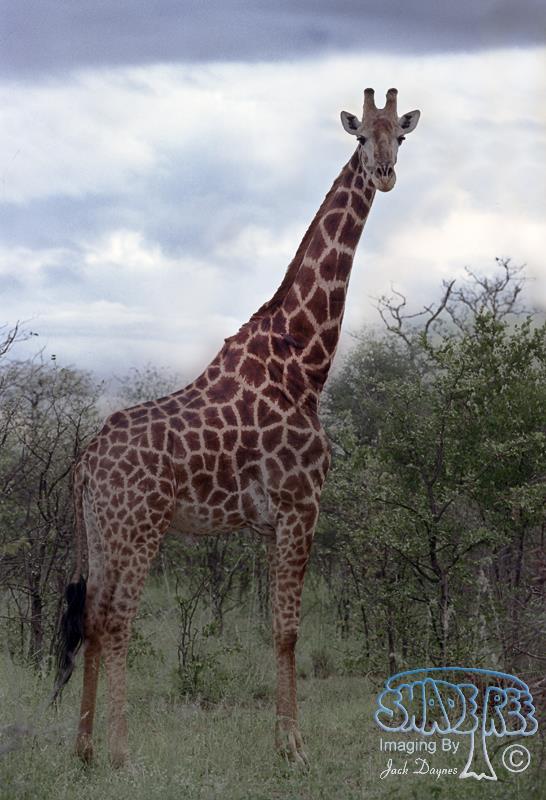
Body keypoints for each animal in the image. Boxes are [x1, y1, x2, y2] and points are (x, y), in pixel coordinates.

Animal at [53, 87, 420, 768]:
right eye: (361, 137)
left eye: (400, 136)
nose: (384, 174)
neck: (306, 360)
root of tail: (84, 463)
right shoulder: (302, 504)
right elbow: (289, 629)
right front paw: (295, 747)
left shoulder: (274, 521)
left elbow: (277, 627)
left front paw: (283, 742)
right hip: (139, 527)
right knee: (117, 620)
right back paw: (120, 753)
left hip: (100, 529)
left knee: (90, 616)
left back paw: (84, 750)